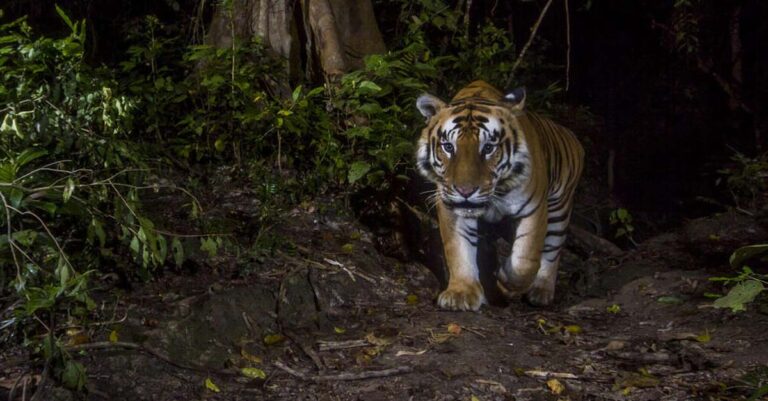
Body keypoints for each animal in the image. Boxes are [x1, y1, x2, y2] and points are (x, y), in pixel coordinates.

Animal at [416, 79, 584, 310]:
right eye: (449, 147)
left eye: (488, 148)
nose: (465, 191)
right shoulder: (452, 207)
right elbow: (458, 249)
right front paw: (461, 293)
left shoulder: (534, 209)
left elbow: (525, 260)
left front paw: (505, 280)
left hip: (559, 210)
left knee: (552, 251)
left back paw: (541, 292)